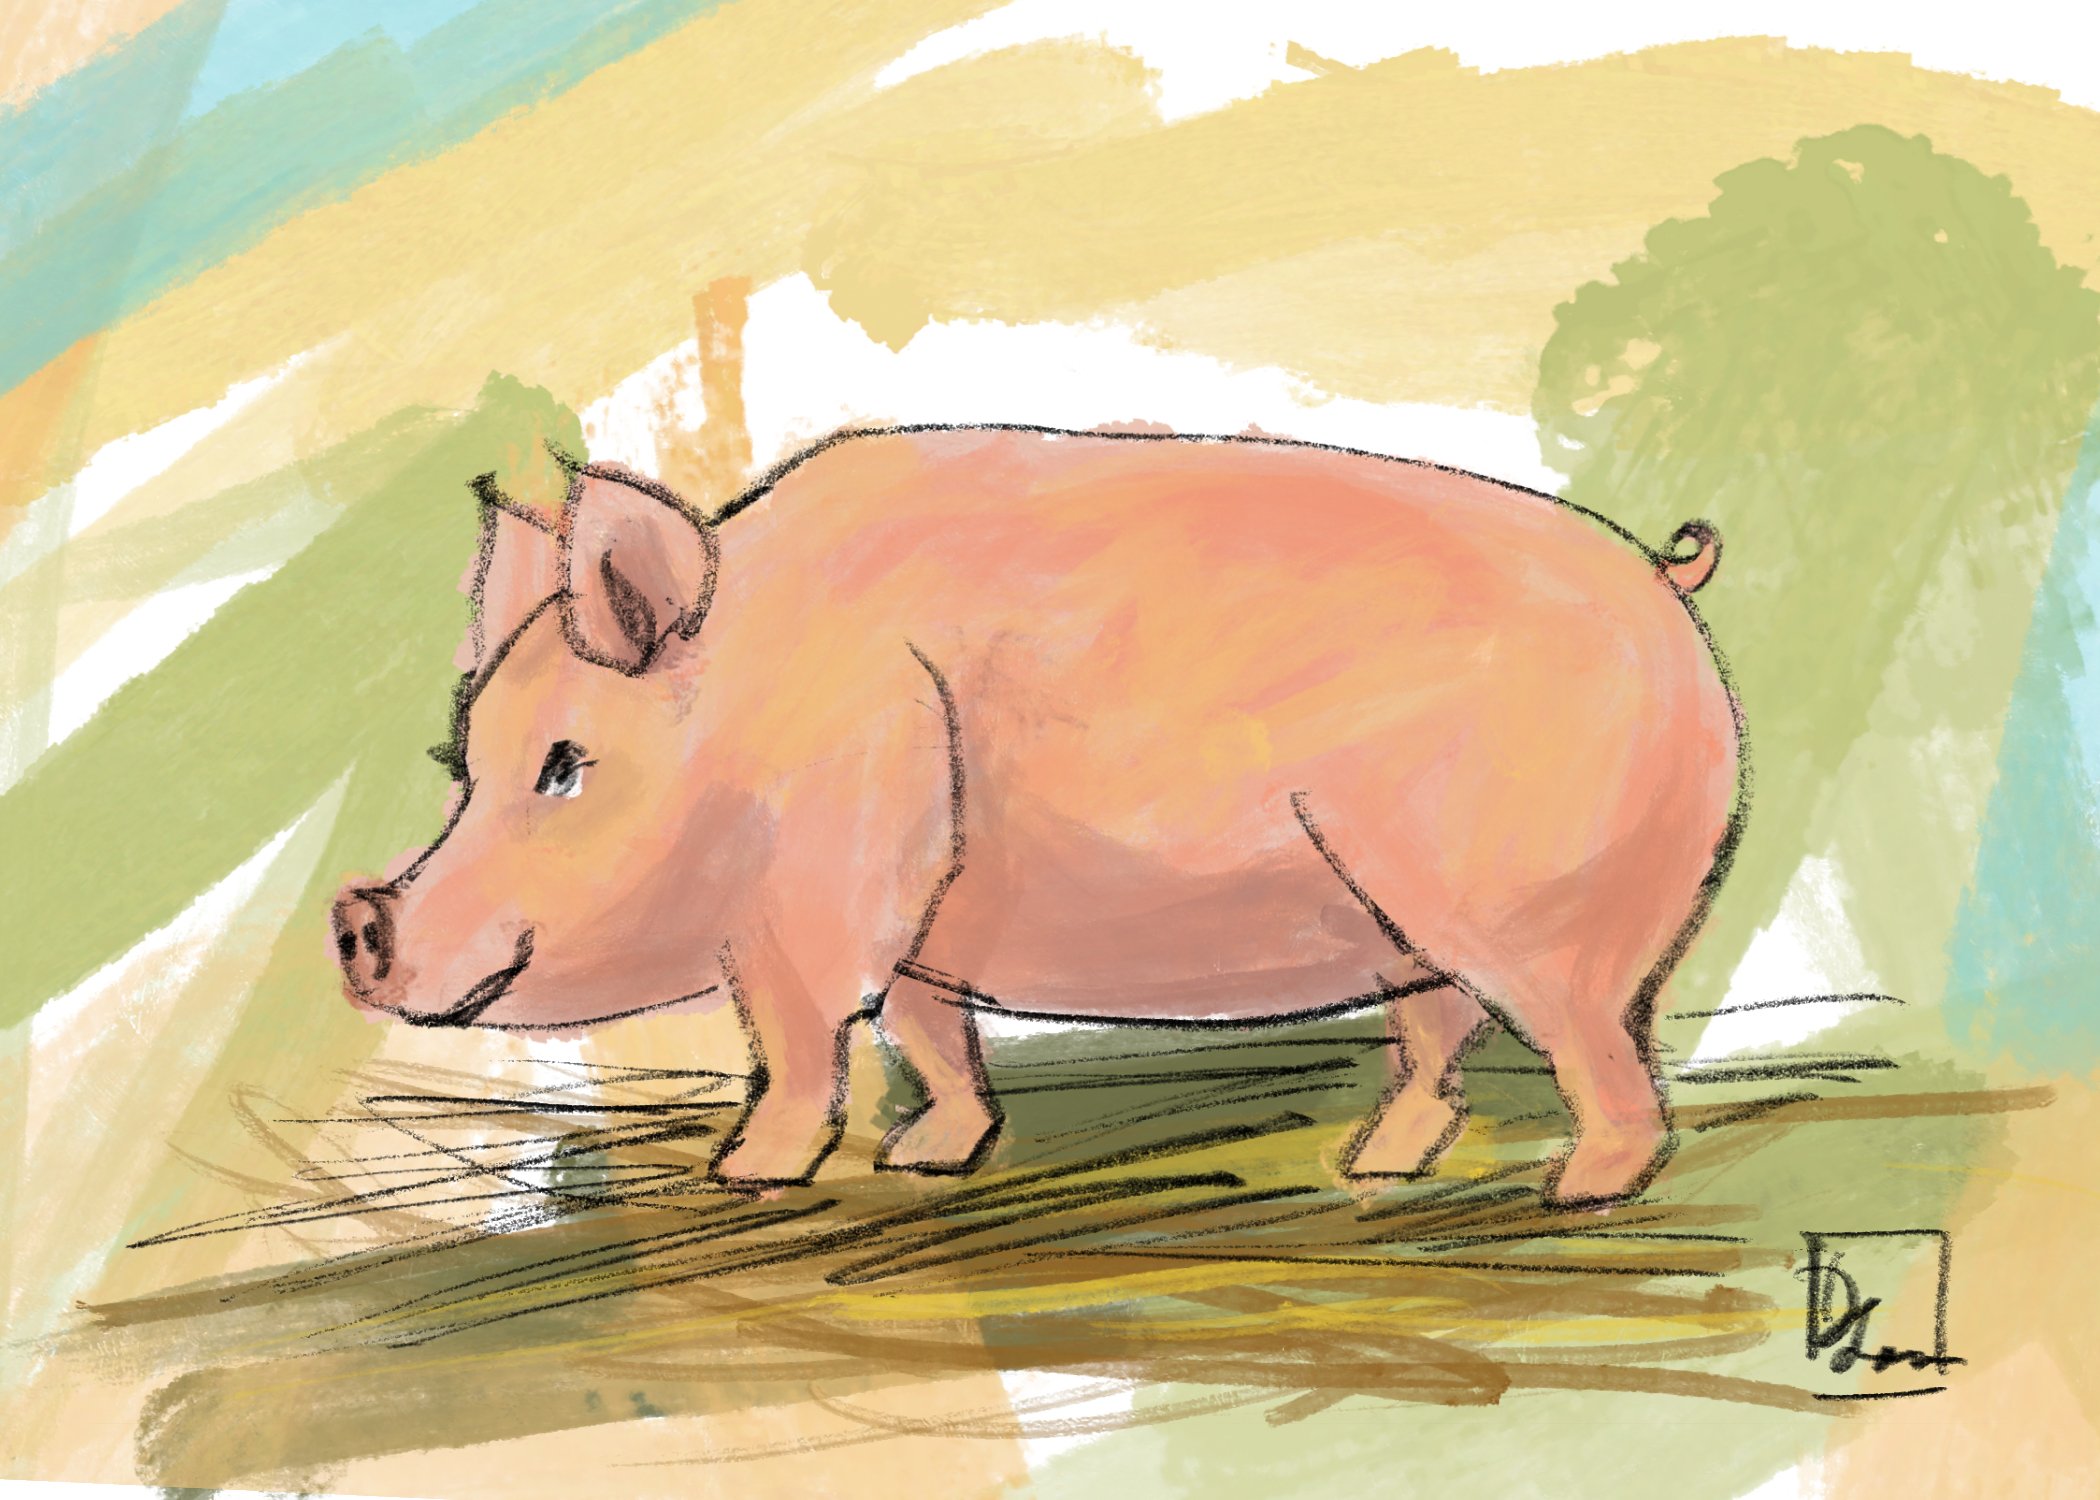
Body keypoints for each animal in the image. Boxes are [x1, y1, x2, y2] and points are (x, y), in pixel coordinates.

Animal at [332, 425, 1743, 1207]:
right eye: (463, 765)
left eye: (565, 766)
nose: (354, 916)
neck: (750, 727)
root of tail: (1667, 590)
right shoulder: (918, 930)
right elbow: (930, 1035)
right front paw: (928, 1161)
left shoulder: (820, 901)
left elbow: (800, 1042)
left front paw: (742, 1175)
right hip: (1413, 930)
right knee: (1442, 1041)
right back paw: (1374, 1169)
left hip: (1535, 915)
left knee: (1598, 1053)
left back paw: (1579, 1193)